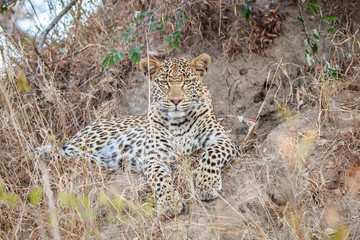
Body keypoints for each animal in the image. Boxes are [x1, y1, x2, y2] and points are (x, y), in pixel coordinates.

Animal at [62, 54, 238, 218]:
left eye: (186, 82)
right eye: (164, 83)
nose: (175, 100)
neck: (178, 123)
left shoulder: (223, 139)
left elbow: (211, 155)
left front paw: (207, 184)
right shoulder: (155, 156)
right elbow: (161, 178)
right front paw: (168, 202)